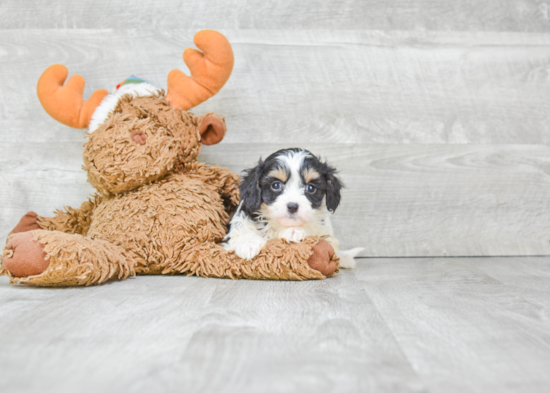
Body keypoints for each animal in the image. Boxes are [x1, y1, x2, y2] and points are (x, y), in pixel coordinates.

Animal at [222, 147, 364, 266]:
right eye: (276, 185)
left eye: (311, 188)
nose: (292, 206)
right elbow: (241, 229)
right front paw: (248, 244)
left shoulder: (322, 230)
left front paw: (293, 231)